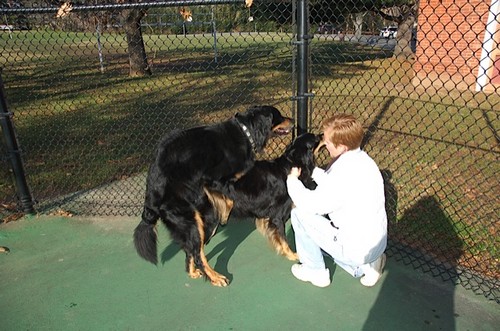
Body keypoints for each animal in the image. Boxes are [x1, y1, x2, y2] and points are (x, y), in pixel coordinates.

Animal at [135, 105, 294, 286]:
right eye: (278, 116)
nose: (293, 120)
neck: (244, 132)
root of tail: (151, 200)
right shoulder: (211, 179)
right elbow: (229, 199)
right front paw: (224, 214)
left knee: (191, 251)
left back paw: (193, 272)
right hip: (191, 222)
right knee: (198, 255)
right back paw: (216, 277)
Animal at [209, 134, 322, 264]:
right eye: (315, 139)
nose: (322, 134)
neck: (289, 165)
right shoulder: (277, 217)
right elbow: (283, 239)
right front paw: (291, 255)